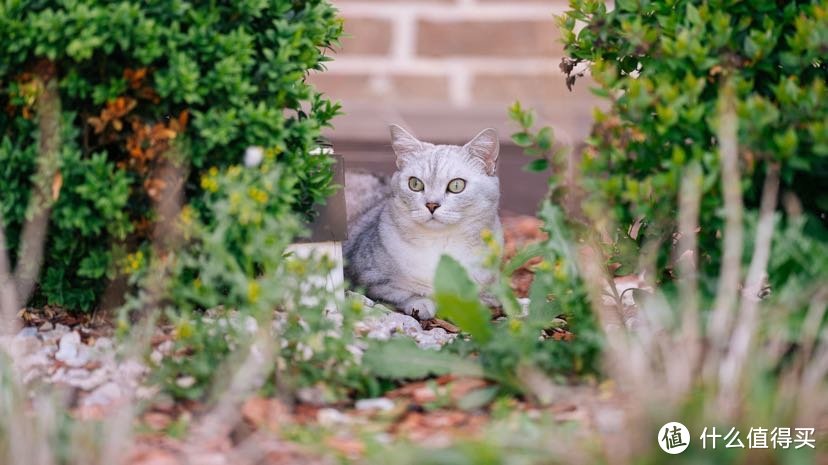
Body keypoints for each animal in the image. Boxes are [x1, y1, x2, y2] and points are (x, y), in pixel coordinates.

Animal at [344, 123, 504, 320]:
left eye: (456, 185)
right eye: (415, 184)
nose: (432, 204)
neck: (440, 244)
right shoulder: (368, 278)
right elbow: (404, 292)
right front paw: (422, 303)